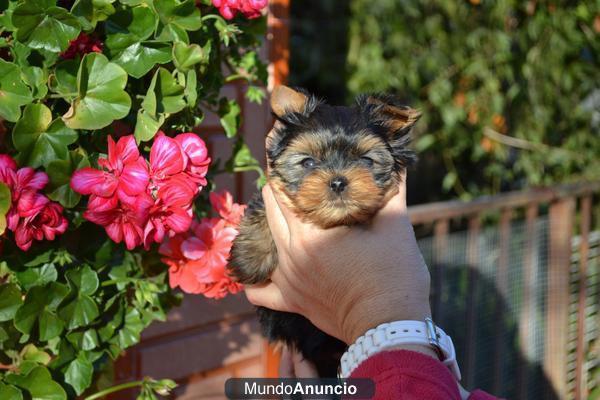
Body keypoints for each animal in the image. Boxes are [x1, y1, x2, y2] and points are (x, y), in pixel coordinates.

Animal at [227, 86, 420, 376]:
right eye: (308, 163)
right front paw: (249, 257)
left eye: (366, 160)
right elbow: (260, 205)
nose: (338, 181)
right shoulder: (272, 196)